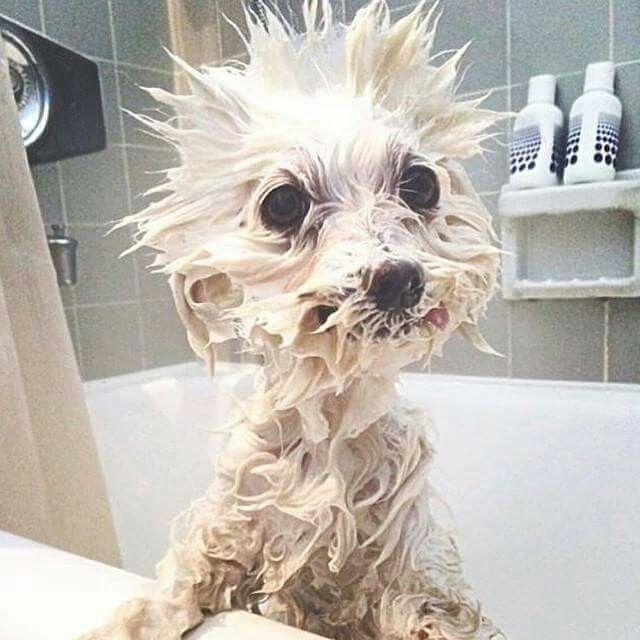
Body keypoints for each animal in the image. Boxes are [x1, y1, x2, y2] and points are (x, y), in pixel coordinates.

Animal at [82, 2, 508, 636]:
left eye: (421, 184)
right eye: (283, 203)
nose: (398, 278)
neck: (330, 428)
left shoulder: (407, 569)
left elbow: (432, 610)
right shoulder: (234, 526)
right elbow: (176, 586)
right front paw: (132, 620)